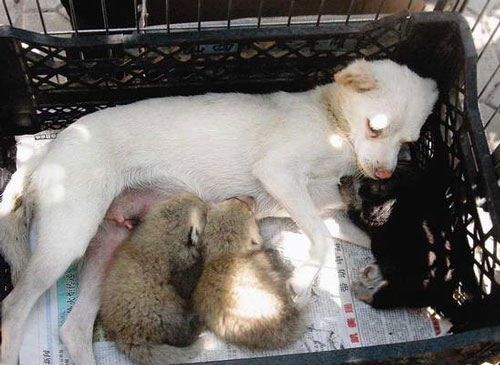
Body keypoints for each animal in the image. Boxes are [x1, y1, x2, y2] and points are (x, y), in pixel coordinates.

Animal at [0, 58, 438, 362]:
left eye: (409, 141)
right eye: (375, 127)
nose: (383, 172)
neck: (335, 126)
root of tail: (46, 153)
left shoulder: (320, 206)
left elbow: (355, 237)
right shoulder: (280, 174)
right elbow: (322, 242)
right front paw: (299, 286)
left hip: (108, 247)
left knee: (72, 329)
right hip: (67, 240)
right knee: (12, 308)